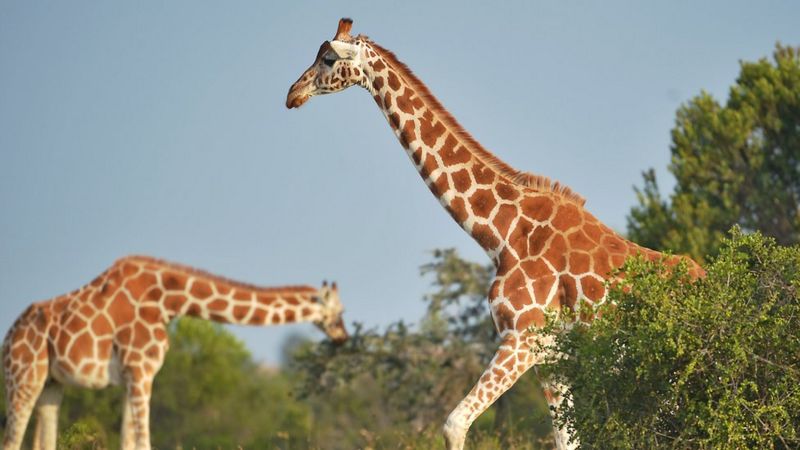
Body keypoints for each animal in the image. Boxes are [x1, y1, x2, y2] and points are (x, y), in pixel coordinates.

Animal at [1, 255, 348, 450]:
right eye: (340, 311)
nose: (344, 337)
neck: (170, 300)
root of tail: (7, 339)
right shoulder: (140, 371)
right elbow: (144, 443)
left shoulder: (131, 378)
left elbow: (128, 443)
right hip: (24, 378)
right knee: (11, 441)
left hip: (51, 383)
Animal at [286, 18, 705, 450]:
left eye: (328, 58)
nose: (292, 94)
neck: (501, 233)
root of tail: (704, 278)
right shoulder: (552, 357)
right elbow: (564, 440)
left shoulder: (521, 338)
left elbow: (454, 423)